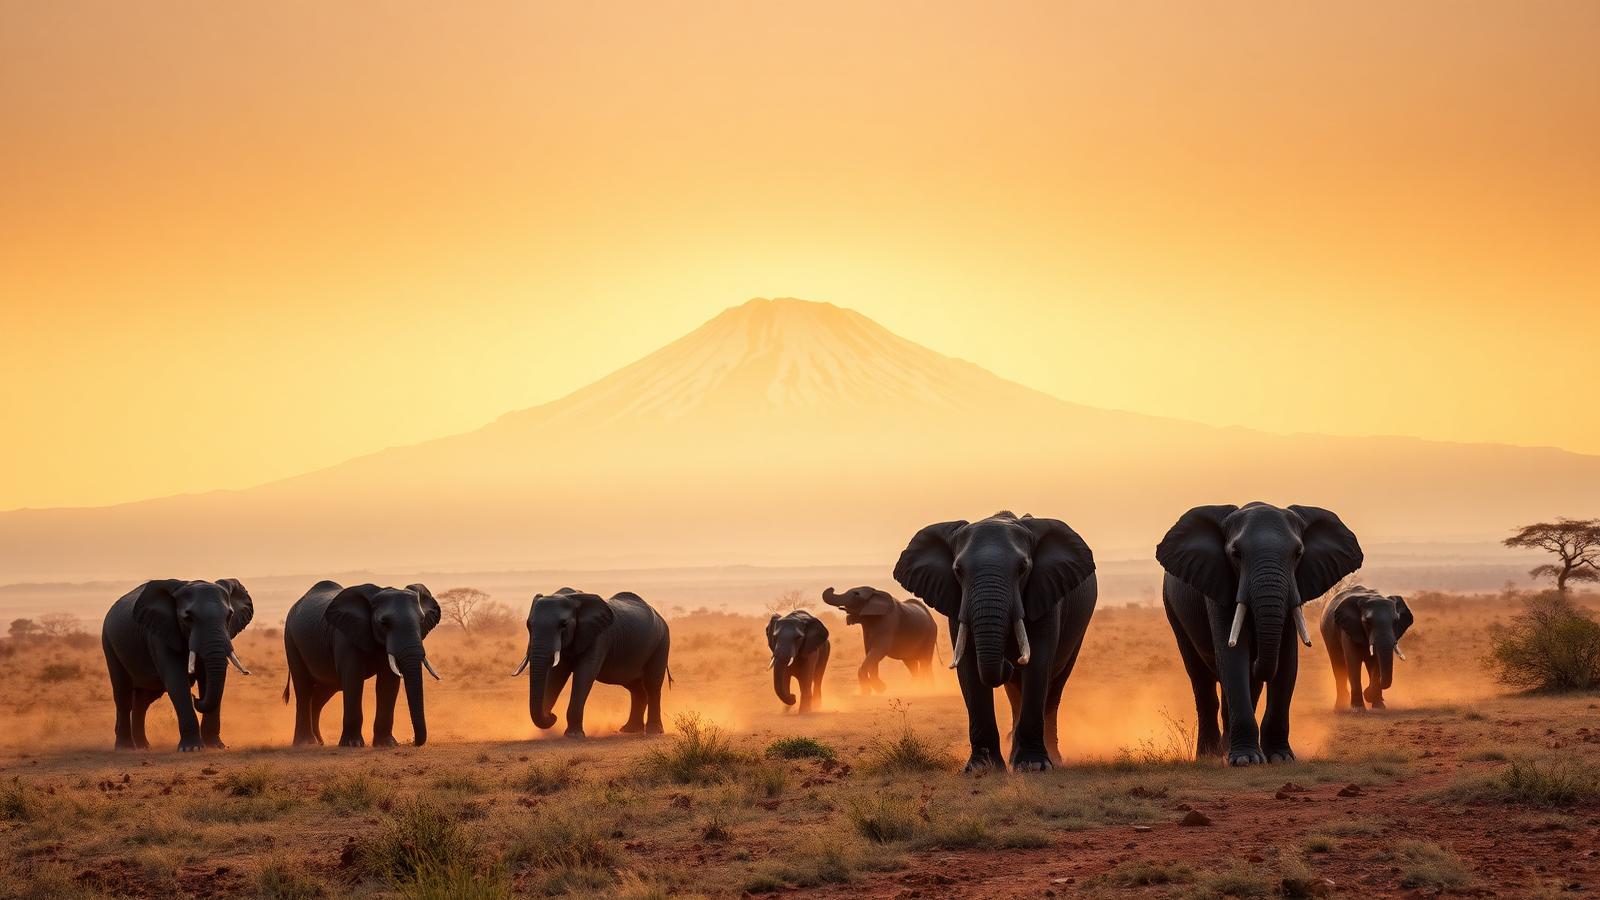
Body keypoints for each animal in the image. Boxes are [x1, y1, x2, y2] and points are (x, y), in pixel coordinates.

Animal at [101, 579, 255, 752]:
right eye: (188, 618)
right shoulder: (160, 633)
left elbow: (207, 680)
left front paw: (216, 746)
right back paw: (125, 748)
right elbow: (176, 680)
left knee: (143, 699)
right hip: (109, 642)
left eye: (229, 616)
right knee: (123, 694)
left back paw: (143, 746)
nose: (196, 698)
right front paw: (192, 749)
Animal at [282, 581, 442, 747]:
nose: (412, 741)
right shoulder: (346, 636)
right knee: (303, 689)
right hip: (291, 639)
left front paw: (387, 744)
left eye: (421, 621)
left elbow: (388, 683)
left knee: (323, 691)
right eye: (384, 623)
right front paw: (352, 744)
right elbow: (353, 679)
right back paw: (305, 743)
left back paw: (319, 742)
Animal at [515, 588, 671, 738]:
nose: (553, 716)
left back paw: (654, 731)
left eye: (563, 625)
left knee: (652, 685)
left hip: (661, 643)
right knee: (635, 688)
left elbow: (584, 673)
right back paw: (630, 730)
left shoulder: (600, 637)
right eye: (528, 625)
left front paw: (573, 735)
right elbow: (556, 676)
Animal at [894, 511, 1097, 773]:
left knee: (1055, 686)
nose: (1009, 661)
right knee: (1015, 692)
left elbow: (1039, 663)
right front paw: (982, 768)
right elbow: (969, 667)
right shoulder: (957, 603)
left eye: (1023, 568)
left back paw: (1053, 758)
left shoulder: (1047, 594)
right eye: (958, 570)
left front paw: (1034, 766)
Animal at [1157, 503, 1363, 766]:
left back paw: (1225, 749)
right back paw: (1209, 755)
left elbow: (1286, 661)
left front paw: (1279, 758)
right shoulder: (1218, 585)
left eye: (1298, 553)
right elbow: (1233, 657)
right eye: (1236, 553)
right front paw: (1245, 760)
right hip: (1173, 609)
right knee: (1200, 679)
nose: (1257, 661)